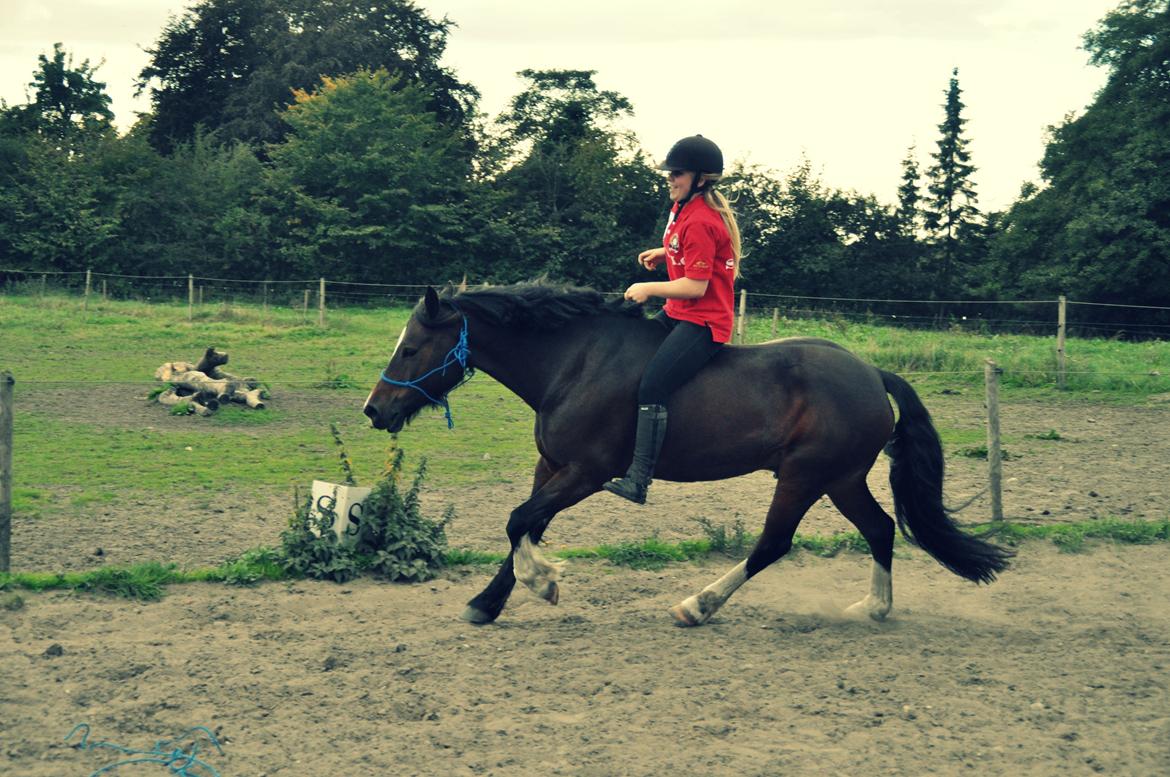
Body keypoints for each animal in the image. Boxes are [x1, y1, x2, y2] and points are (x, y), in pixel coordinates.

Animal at [362, 281, 1011, 626]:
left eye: (413, 348)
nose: (374, 411)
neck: (574, 362)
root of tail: (872, 374)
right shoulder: (553, 467)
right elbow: (525, 525)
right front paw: (488, 602)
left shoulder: (587, 472)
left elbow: (517, 521)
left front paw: (542, 583)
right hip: (842, 478)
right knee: (879, 529)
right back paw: (873, 608)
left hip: (805, 476)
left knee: (773, 544)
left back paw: (697, 606)